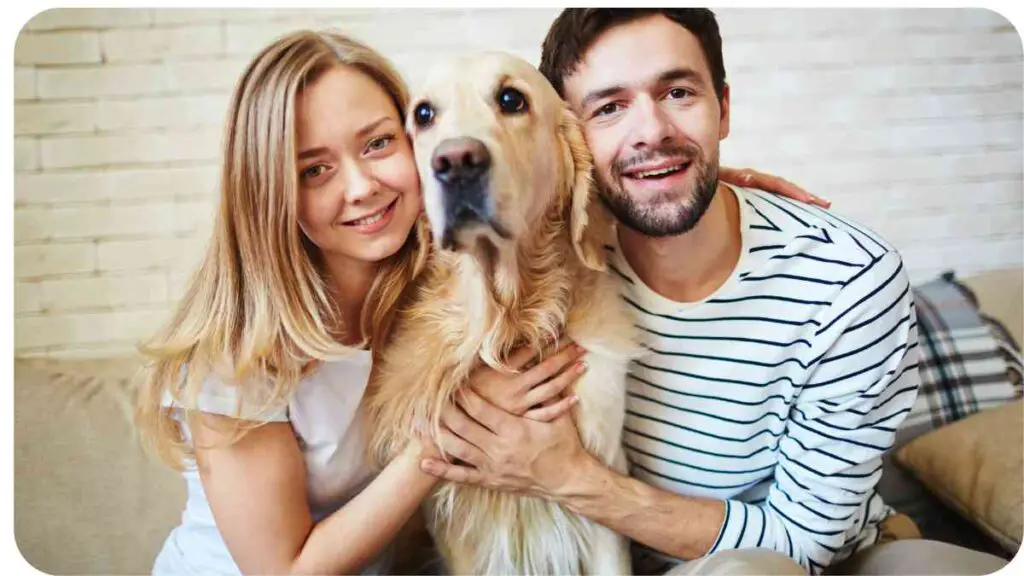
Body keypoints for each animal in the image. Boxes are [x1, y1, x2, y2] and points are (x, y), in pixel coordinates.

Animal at [368, 51, 634, 569]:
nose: (454, 162)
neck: (507, 322)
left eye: (512, 99)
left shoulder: (601, 493)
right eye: (423, 114)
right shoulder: (456, 526)